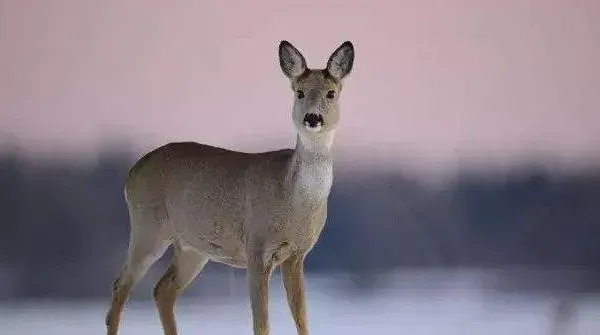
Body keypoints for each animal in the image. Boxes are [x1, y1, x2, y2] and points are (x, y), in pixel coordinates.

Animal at [105, 40, 354, 335]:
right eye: (300, 92)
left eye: (331, 93)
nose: (312, 118)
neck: (293, 198)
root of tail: (132, 172)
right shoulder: (256, 248)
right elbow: (261, 324)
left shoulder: (297, 255)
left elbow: (303, 320)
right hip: (148, 227)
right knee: (121, 286)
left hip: (192, 247)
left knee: (162, 290)